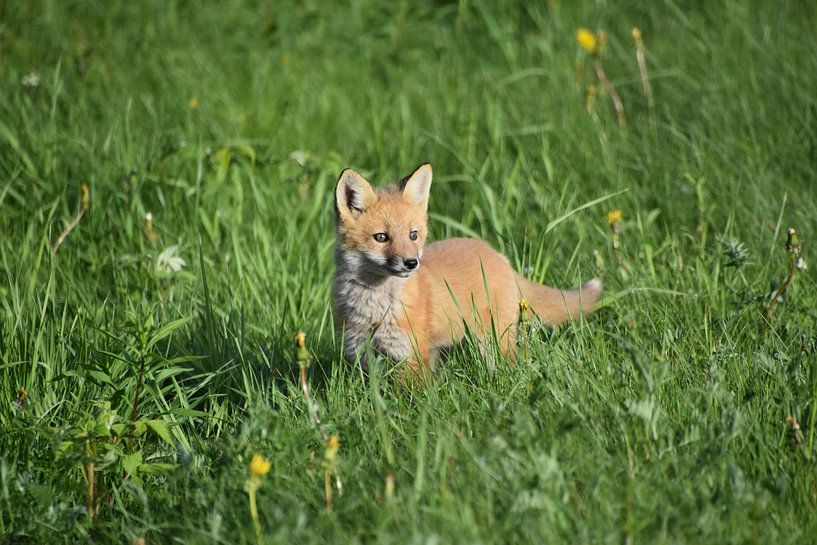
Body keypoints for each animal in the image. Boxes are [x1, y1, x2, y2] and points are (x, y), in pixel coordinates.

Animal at [333, 163, 601, 381]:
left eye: (413, 235)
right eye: (381, 237)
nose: (411, 263)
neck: (374, 308)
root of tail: (498, 256)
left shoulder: (412, 356)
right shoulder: (363, 354)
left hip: (495, 342)